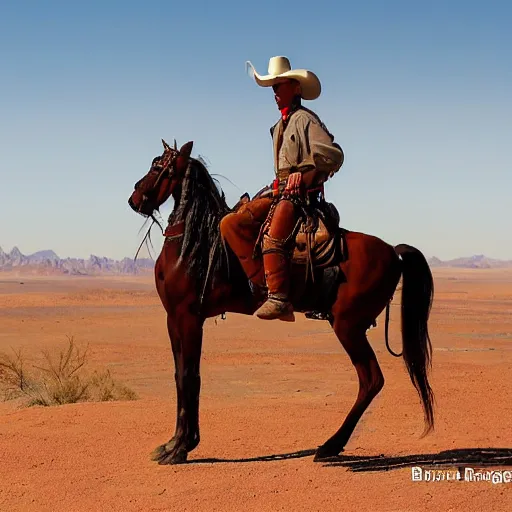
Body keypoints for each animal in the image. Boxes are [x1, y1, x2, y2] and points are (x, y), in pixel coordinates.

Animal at [126, 139, 434, 464]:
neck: (195, 244)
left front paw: (182, 447)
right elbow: (180, 376)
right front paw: (174, 443)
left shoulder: (188, 317)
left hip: (348, 326)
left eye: (158, 167)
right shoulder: (173, 318)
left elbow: (189, 376)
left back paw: (330, 445)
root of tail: (393, 251)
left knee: (371, 380)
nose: (135, 199)